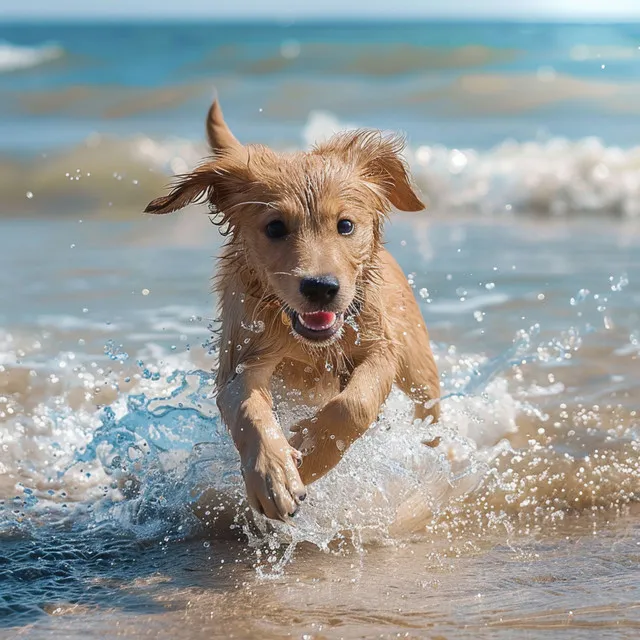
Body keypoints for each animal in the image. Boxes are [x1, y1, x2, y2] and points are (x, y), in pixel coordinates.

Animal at [144, 100, 440, 520]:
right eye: (275, 227)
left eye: (345, 225)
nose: (320, 288)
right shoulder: (241, 358)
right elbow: (249, 410)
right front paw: (274, 474)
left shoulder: (380, 345)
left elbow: (355, 402)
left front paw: (312, 453)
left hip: (419, 371)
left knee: (429, 413)